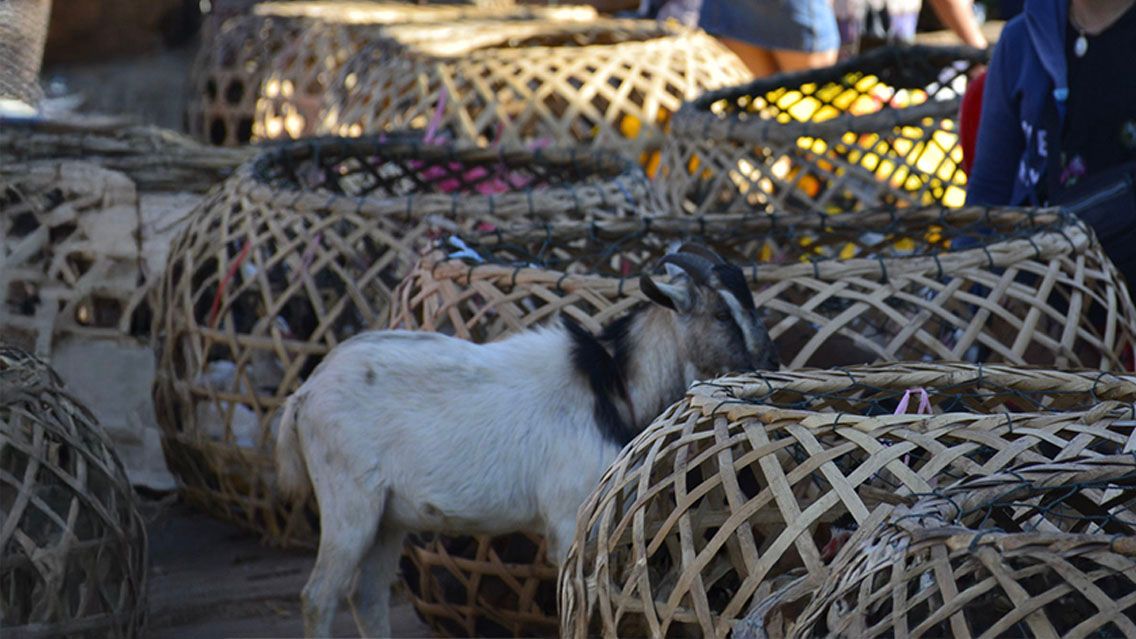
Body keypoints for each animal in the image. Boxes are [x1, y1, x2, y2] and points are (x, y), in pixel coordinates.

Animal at [274, 245, 779, 637]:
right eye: (721, 313)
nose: (766, 359)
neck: (614, 385)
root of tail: (305, 393)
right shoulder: (569, 516)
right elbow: (581, 595)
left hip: (389, 516)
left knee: (367, 597)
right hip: (350, 500)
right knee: (319, 596)